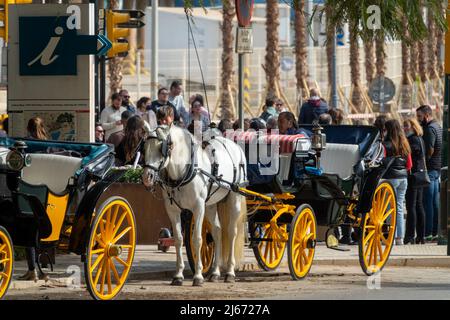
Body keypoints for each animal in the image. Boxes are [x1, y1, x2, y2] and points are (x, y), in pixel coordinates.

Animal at [143, 124, 246, 284]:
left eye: (163, 148)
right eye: (145, 147)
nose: (147, 177)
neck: (183, 171)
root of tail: (234, 145)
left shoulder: (198, 207)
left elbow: (197, 239)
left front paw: (198, 275)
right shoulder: (172, 210)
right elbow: (178, 240)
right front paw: (178, 275)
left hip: (234, 199)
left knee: (231, 232)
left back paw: (230, 272)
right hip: (210, 205)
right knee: (217, 231)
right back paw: (215, 272)